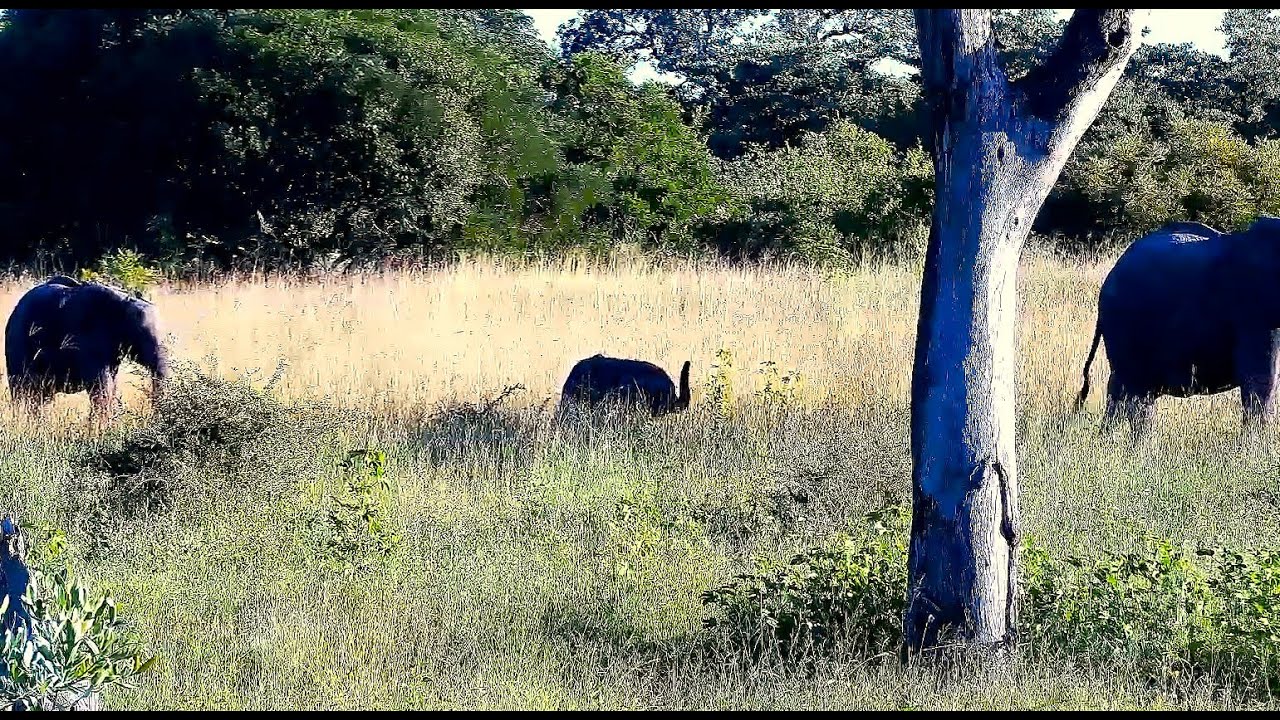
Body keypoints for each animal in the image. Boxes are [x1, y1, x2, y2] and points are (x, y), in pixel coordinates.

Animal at [5, 275, 169, 420]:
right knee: (23, 390)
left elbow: (111, 384)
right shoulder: (85, 341)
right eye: (142, 335)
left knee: (42, 396)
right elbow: (101, 386)